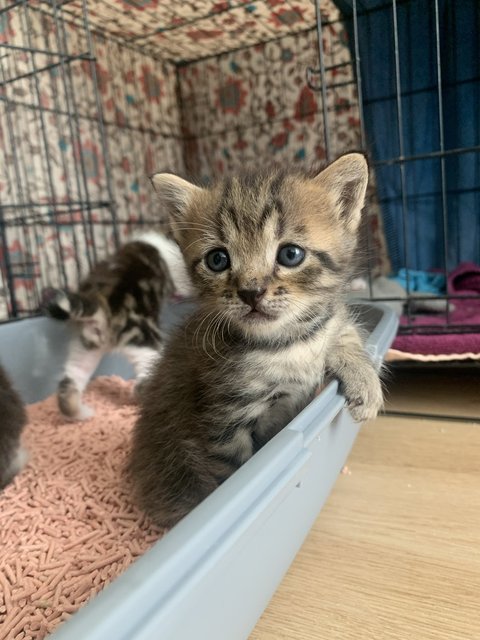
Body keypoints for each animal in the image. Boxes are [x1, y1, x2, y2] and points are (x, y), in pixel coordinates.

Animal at [46, 230, 193, 420]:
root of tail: (102, 305)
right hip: (144, 344)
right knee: (142, 385)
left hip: (84, 349)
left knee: (68, 387)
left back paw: (82, 414)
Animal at [127, 154, 382, 524]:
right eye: (217, 259)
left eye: (290, 254)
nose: (251, 292)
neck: (285, 342)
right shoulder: (224, 423)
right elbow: (233, 470)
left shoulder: (327, 321)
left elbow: (341, 330)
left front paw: (364, 380)